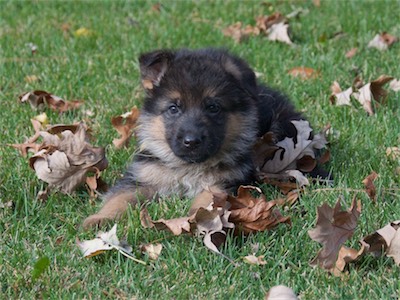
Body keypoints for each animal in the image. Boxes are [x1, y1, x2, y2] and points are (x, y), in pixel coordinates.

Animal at [82, 48, 304, 229]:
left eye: (213, 107)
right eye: (173, 108)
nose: (191, 142)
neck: (187, 167)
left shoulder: (224, 182)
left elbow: (207, 199)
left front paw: (199, 219)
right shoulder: (140, 178)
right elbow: (118, 198)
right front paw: (99, 219)